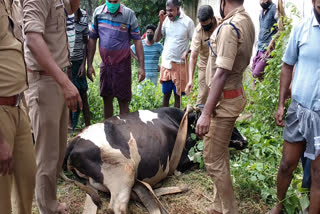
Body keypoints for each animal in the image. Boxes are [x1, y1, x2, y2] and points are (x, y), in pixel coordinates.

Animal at [63, 107, 248, 214]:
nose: (245, 141)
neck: (179, 121)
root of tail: (74, 140)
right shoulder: (180, 162)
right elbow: (199, 157)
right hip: (124, 170)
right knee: (117, 207)